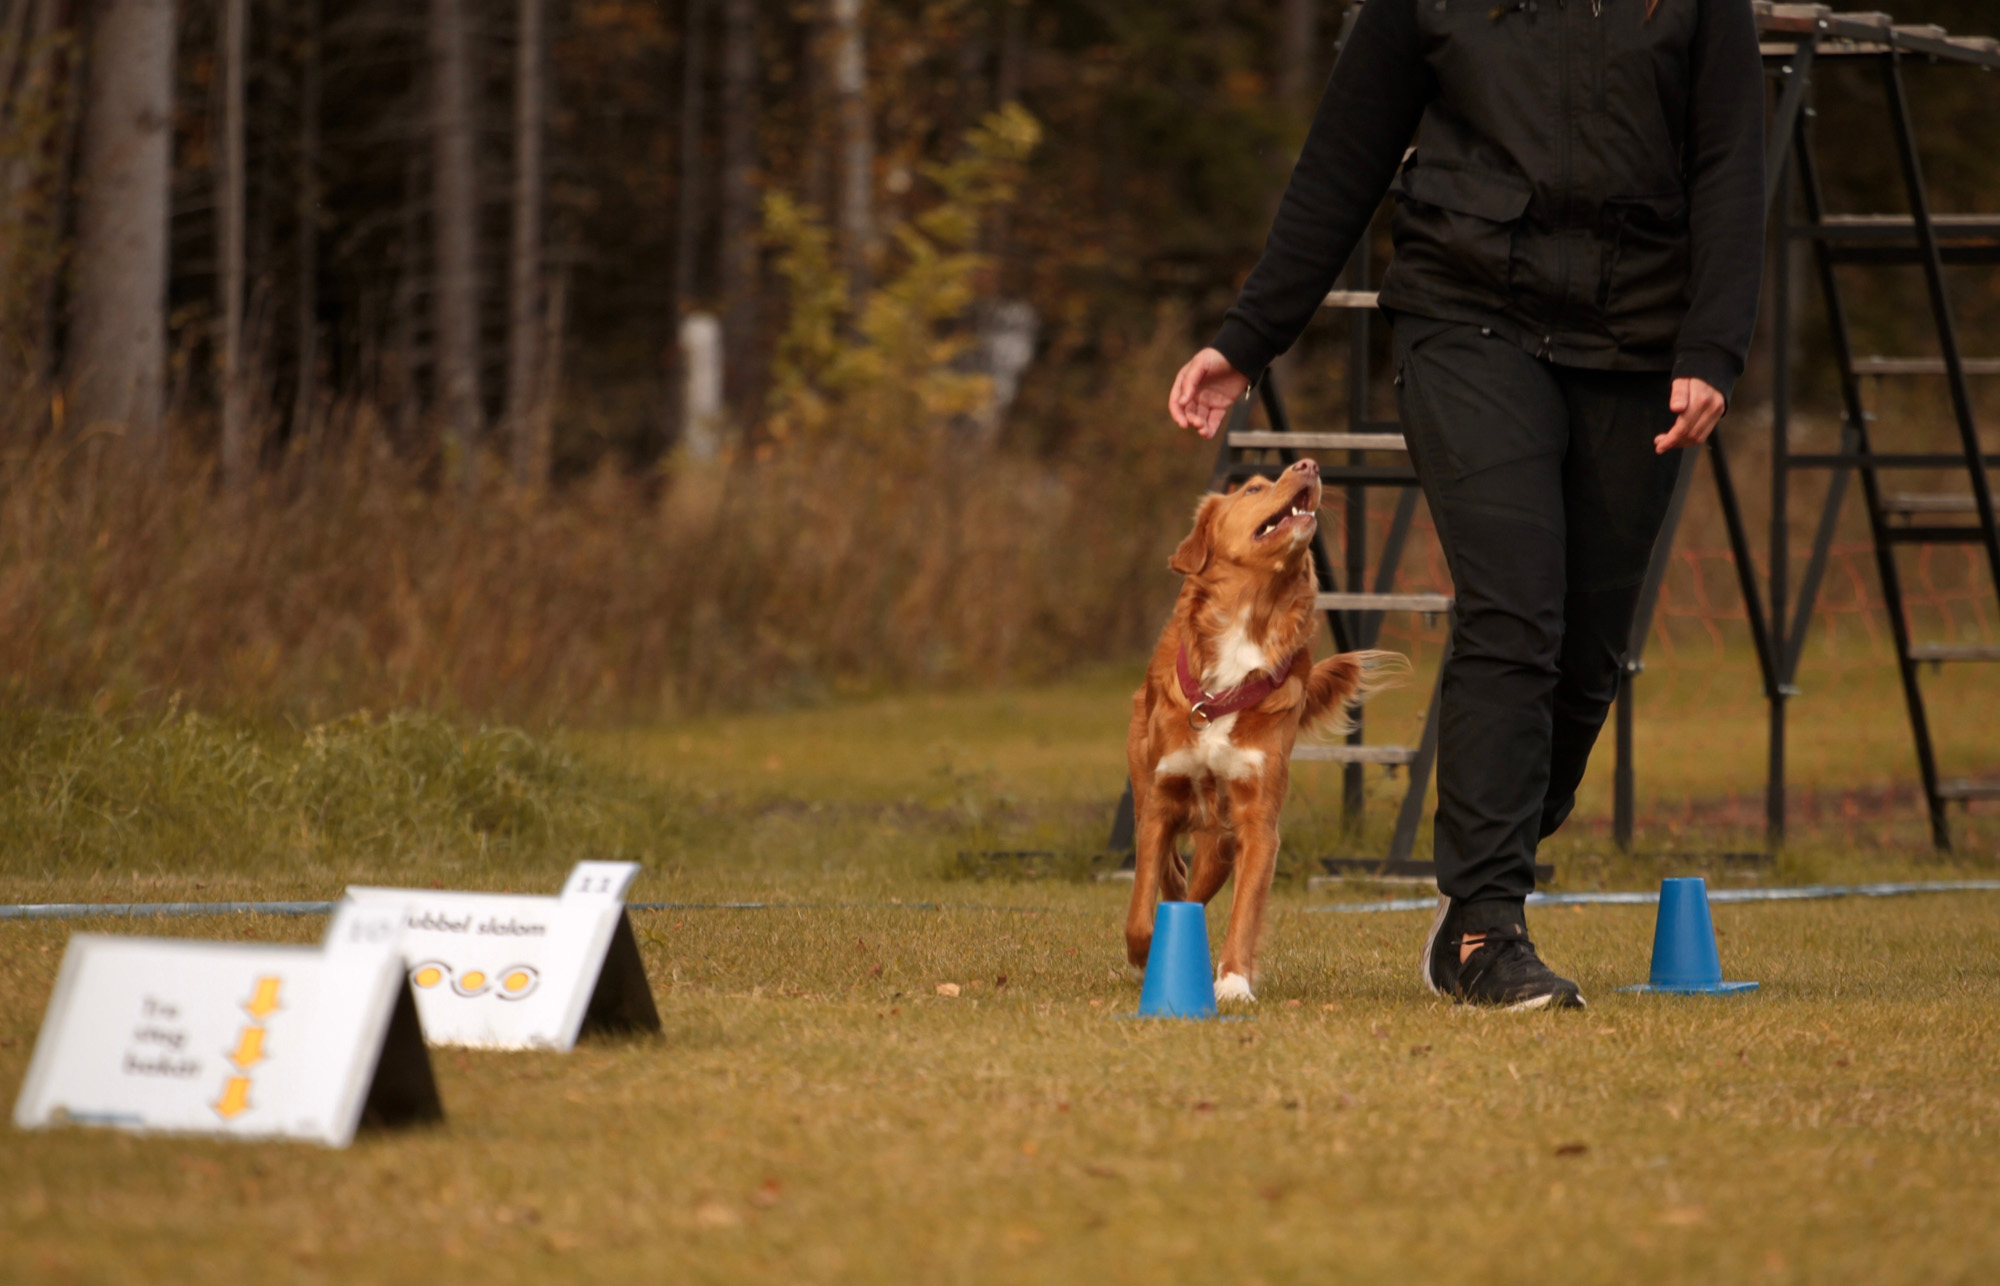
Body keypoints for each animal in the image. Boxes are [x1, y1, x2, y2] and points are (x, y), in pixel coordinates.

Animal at [1120, 458, 1400, 1000]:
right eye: (1251, 488)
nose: (1309, 464)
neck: (1248, 623)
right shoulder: (1163, 796)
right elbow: (1141, 911)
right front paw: (1147, 960)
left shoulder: (1256, 822)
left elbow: (1245, 910)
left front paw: (1232, 981)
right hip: (1146, 786)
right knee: (1167, 869)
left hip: (1219, 844)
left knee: (1194, 887)